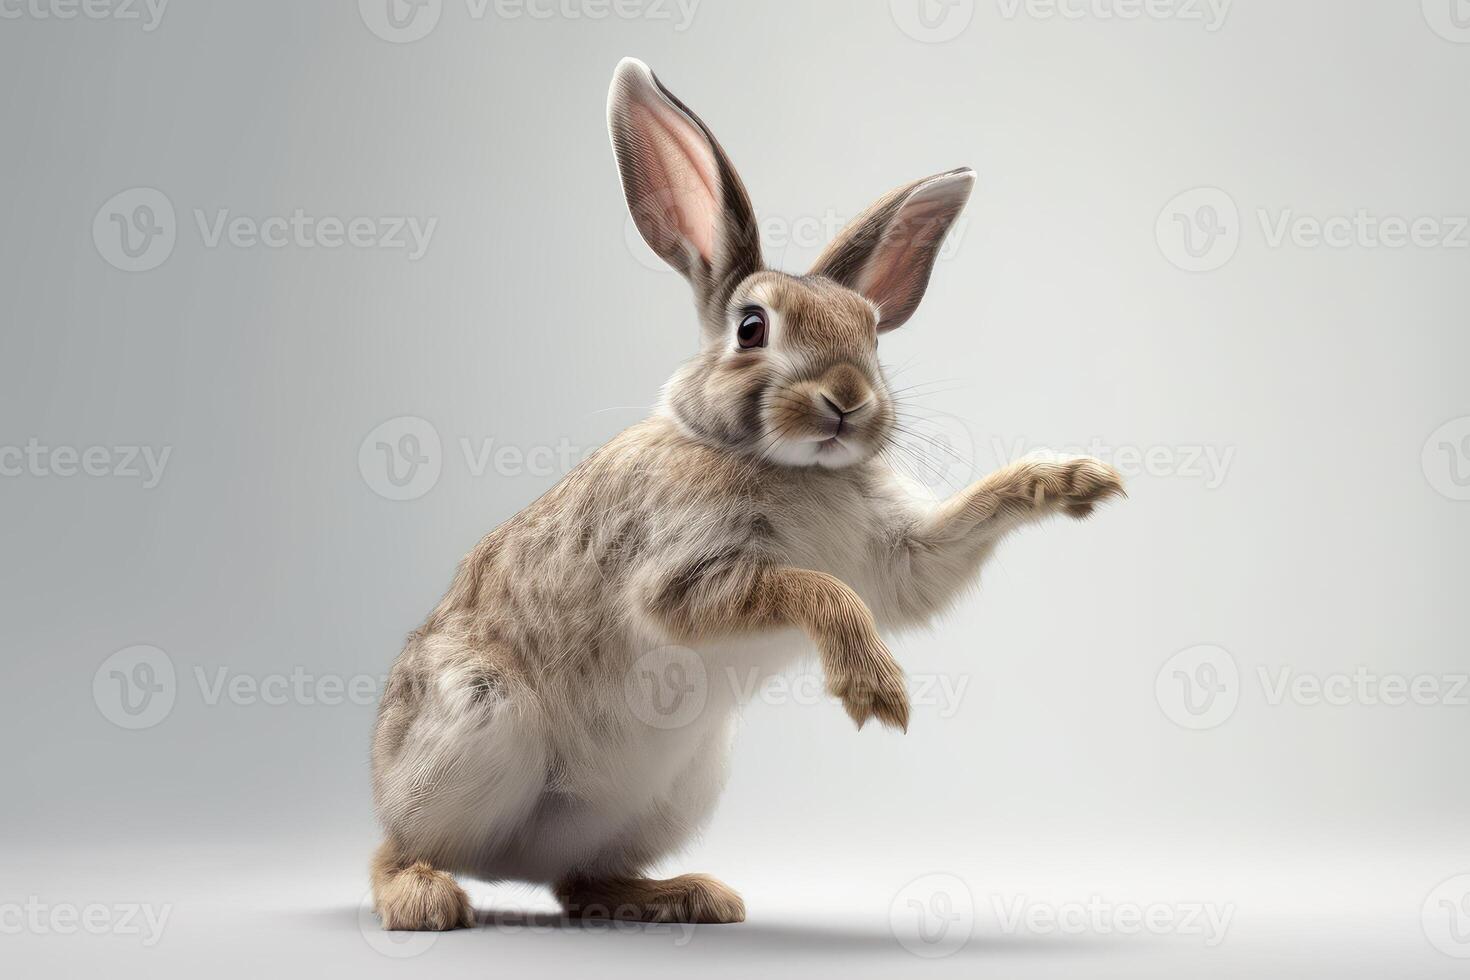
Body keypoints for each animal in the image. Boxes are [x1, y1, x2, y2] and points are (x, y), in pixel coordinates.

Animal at [370, 57, 1123, 934]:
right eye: (752, 328)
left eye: (872, 332)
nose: (847, 400)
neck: (791, 466)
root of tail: (506, 863)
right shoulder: (682, 577)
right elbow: (814, 588)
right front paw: (875, 687)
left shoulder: (901, 557)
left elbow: (940, 544)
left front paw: (1075, 480)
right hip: (474, 721)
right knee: (397, 849)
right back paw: (426, 899)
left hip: (674, 792)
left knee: (578, 882)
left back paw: (687, 896)